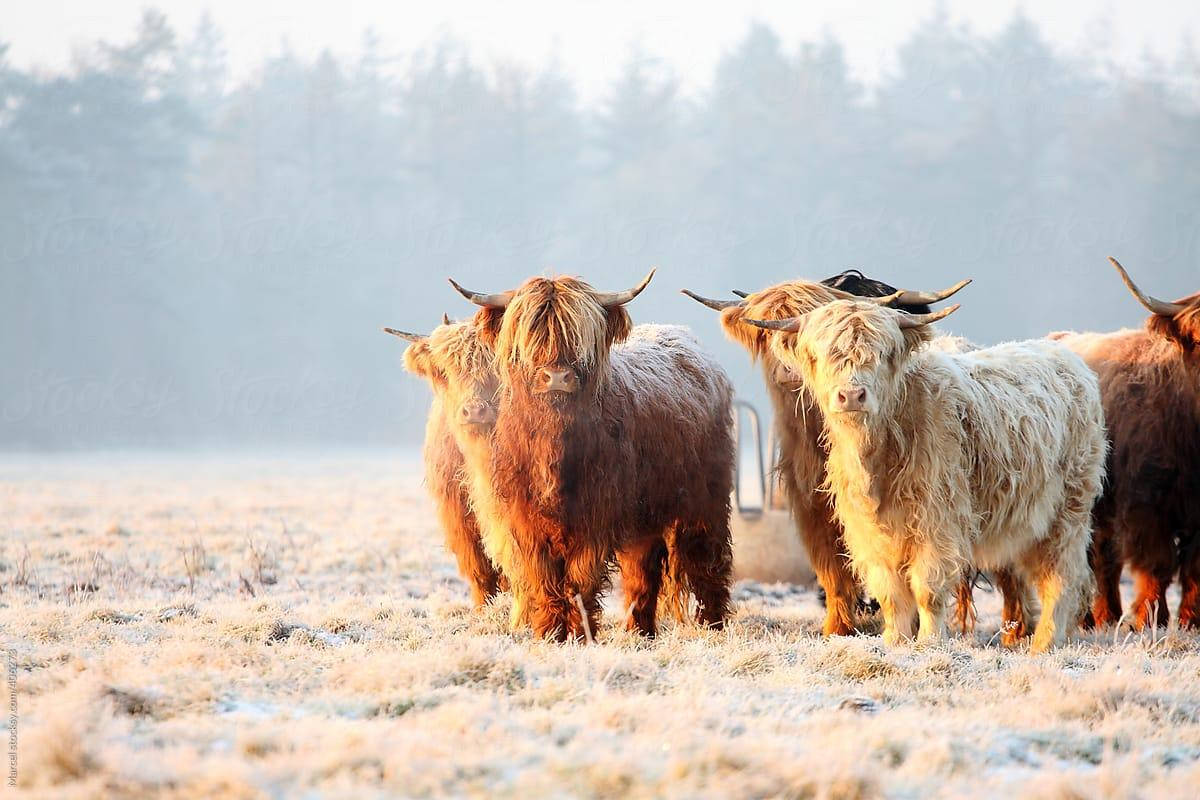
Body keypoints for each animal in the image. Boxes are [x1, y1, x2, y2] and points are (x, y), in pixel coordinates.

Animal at [748, 297, 1104, 652]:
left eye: (883, 353)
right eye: (818, 354)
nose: (851, 396)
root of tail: (1070, 359)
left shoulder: (937, 525)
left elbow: (928, 590)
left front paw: (929, 642)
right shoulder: (871, 535)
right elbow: (890, 595)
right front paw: (894, 641)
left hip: (1068, 511)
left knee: (1062, 576)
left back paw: (1045, 642)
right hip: (1027, 522)